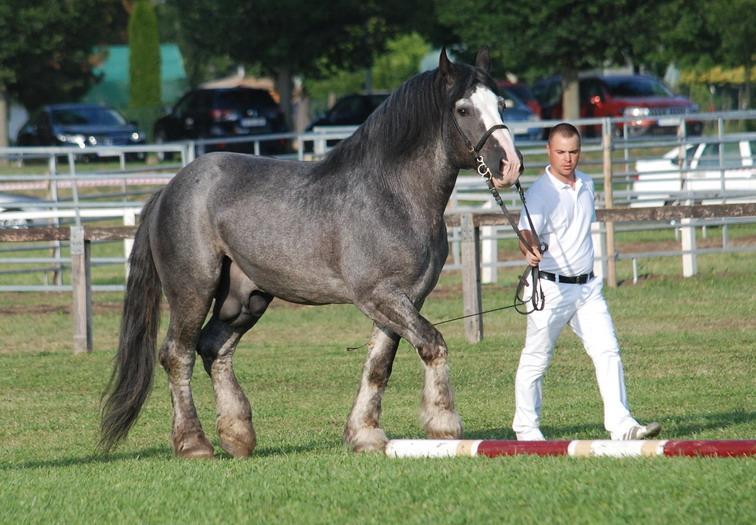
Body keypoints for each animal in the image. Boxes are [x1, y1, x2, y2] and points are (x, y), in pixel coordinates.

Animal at [100, 49, 524, 458]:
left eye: (501, 103)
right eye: (463, 109)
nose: (510, 166)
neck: (391, 195)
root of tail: (169, 189)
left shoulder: (405, 299)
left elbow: (378, 365)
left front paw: (364, 435)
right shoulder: (379, 295)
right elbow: (432, 344)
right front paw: (443, 425)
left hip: (245, 298)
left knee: (214, 348)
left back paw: (237, 436)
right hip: (193, 290)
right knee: (178, 355)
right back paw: (194, 444)